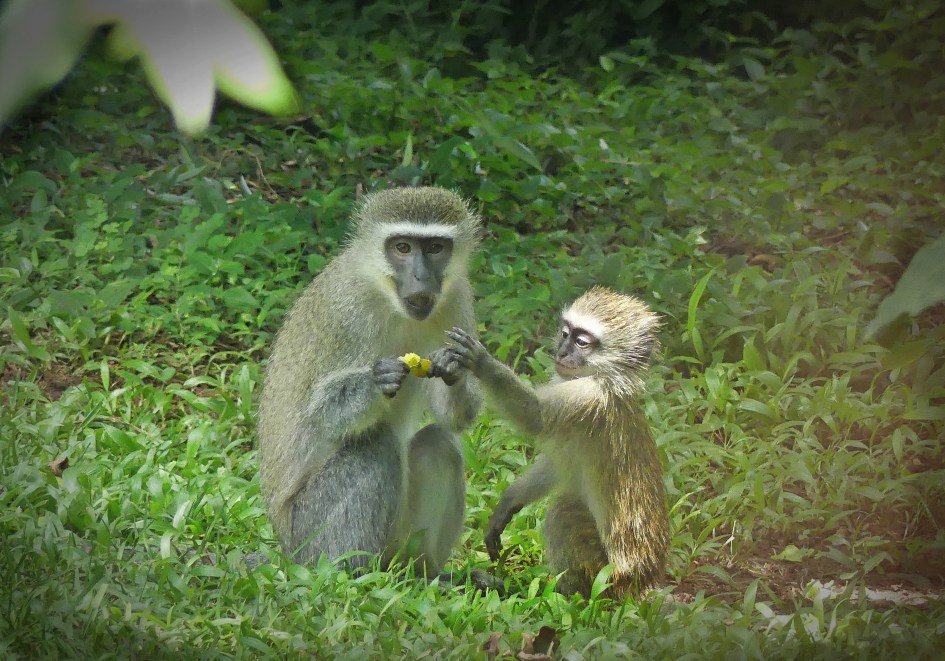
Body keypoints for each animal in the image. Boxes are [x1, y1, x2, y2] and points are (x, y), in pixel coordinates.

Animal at [257, 186, 484, 579]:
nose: (421, 279)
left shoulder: (457, 298)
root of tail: (286, 551)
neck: (387, 296)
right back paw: (350, 575)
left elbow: (454, 418)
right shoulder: (347, 311)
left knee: (439, 443)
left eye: (435, 247)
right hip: (308, 535)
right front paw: (379, 380)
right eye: (402, 247)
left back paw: (427, 574)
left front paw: (452, 366)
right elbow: (323, 414)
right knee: (374, 443)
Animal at [444, 286, 669, 598]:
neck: (608, 380)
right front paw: (510, 500)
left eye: (582, 342)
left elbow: (535, 416)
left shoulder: (585, 399)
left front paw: (482, 362)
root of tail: (644, 580)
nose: (561, 352)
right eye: (565, 333)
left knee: (564, 512)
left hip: (608, 577)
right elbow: (557, 466)